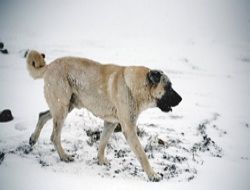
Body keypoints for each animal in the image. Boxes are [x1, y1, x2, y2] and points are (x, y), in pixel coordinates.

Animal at [26, 49, 182, 182]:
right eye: (168, 87)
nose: (181, 99)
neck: (134, 87)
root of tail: (49, 66)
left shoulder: (110, 123)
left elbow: (103, 142)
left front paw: (100, 161)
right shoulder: (129, 129)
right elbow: (142, 155)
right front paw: (153, 175)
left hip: (65, 107)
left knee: (42, 115)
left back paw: (33, 139)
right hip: (61, 109)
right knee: (54, 136)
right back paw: (64, 156)